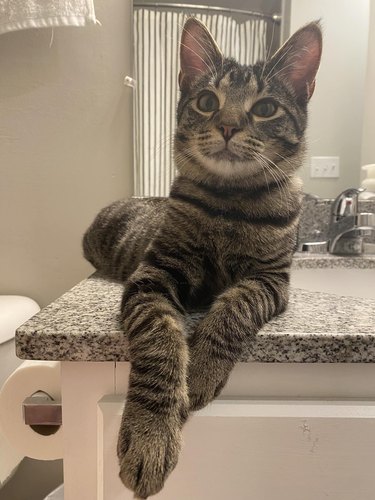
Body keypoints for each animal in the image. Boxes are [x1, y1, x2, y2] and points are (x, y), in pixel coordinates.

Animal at [83, 17, 324, 498]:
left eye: (266, 108)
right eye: (208, 101)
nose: (228, 126)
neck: (231, 202)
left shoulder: (271, 279)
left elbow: (235, 307)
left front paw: (202, 372)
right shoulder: (155, 274)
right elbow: (159, 342)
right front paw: (151, 433)